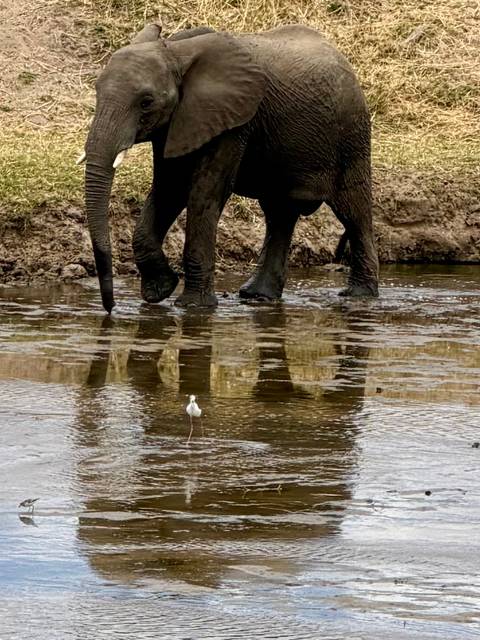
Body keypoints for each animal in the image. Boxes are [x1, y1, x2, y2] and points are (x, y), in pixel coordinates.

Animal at [81, 22, 379, 312]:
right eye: (96, 91)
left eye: (146, 102)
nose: (110, 308)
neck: (176, 51)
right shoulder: (176, 123)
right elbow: (169, 190)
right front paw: (159, 291)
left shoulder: (233, 122)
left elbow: (203, 193)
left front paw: (193, 306)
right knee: (279, 214)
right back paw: (257, 296)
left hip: (352, 138)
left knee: (353, 212)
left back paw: (358, 297)